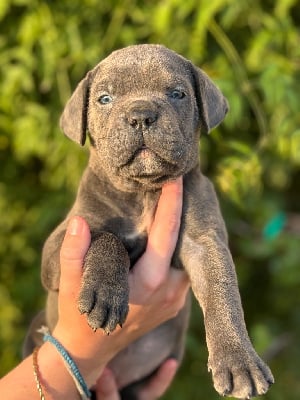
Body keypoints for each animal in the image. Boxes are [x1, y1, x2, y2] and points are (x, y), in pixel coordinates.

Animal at [25, 43, 274, 396]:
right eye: (104, 99)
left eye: (177, 94)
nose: (140, 115)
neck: (143, 191)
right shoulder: (63, 242)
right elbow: (107, 237)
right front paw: (105, 294)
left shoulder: (205, 243)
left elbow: (223, 293)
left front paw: (239, 361)